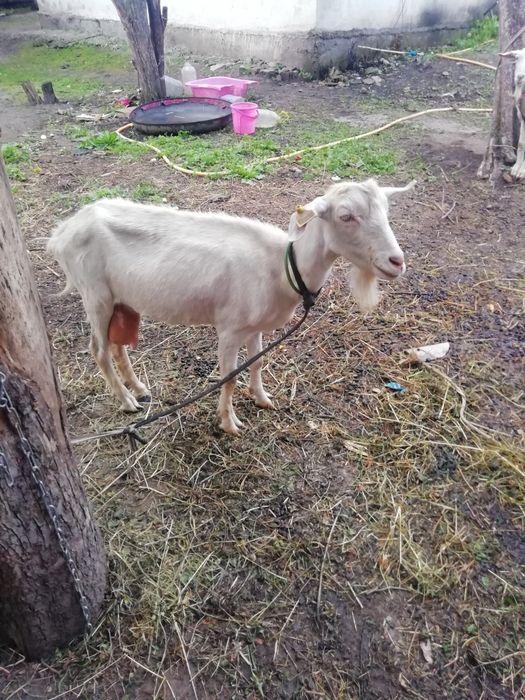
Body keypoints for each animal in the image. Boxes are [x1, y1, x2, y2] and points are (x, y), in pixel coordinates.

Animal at [47, 178, 415, 435]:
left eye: (387, 211)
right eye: (346, 216)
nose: (396, 262)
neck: (283, 266)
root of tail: (62, 232)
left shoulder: (254, 328)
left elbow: (257, 364)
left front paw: (262, 398)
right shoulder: (229, 328)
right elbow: (228, 378)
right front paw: (229, 423)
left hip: (121, 297)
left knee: (117, 345)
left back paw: (138, 390)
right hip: (94, 294)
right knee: (98, 349)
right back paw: (126, 403)